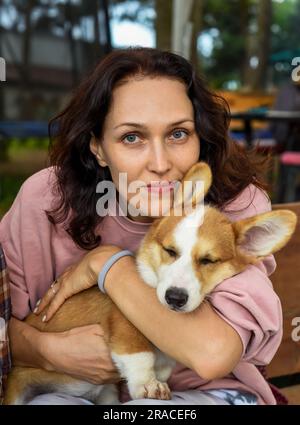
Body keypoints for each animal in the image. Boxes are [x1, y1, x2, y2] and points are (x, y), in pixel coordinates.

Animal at [4, 162, 298, 404]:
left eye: (208, 261)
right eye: (170, 251)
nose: (175, 298)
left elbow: (163, 365)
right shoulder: (122, 321)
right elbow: (140, 353)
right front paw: (148, 385)